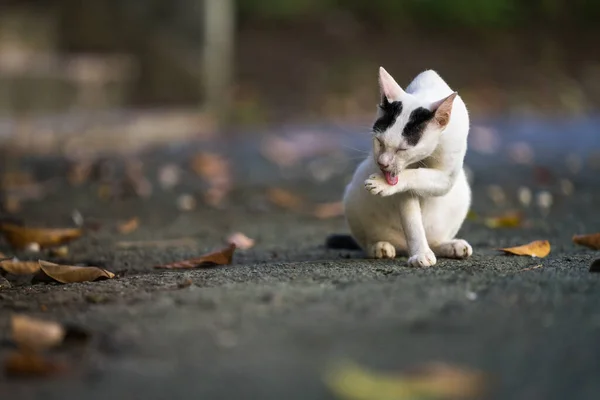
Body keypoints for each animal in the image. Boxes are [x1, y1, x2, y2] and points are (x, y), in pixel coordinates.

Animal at [330, 66, 472, 266]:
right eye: (379, 141)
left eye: (402, 149)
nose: (382, 163)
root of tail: (403, 247)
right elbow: (411, 219)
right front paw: (420, 253)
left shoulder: (446, 177)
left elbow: (419, 175)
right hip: (352, 198)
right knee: (366, 241)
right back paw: (379, 247)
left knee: (435, 240)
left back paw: (450, 246)